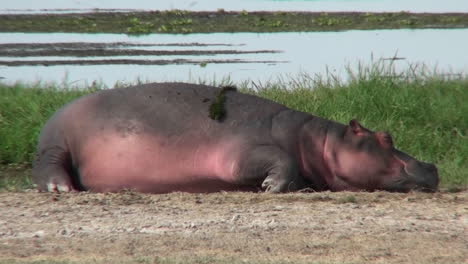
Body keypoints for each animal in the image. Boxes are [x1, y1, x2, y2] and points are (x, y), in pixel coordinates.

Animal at [33, 82, 438, 194]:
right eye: (386, 137)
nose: (432, 166)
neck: (319, 140)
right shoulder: (244, 153)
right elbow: (281, 160)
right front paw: (272, 188)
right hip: (57, 141)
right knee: (50, 165)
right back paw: (61, 188)